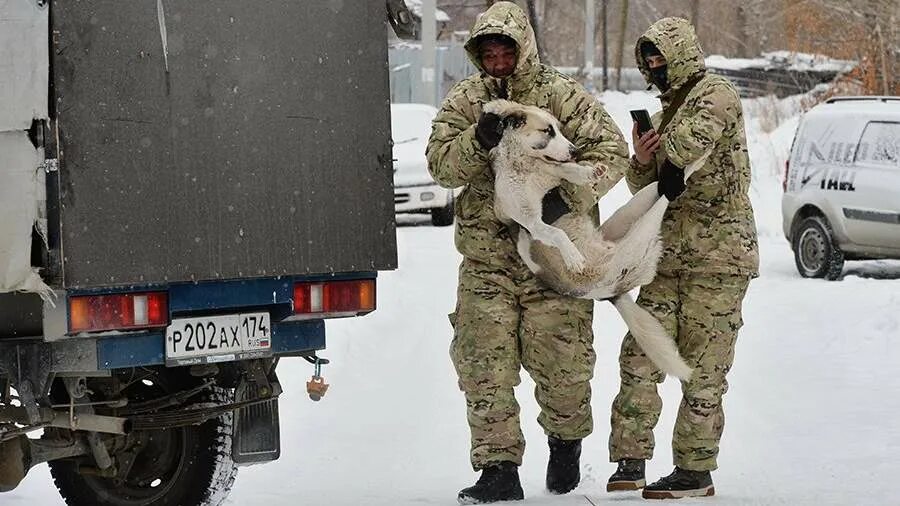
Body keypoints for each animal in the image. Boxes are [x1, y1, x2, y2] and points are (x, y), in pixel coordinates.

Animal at [482, 100, 708, 380]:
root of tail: (609, 295)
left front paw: (589, 172)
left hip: (629, 214)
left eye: (559, 128)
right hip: (640, 233)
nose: (574, 150)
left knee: (660, 186)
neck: (526, 165)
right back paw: (692, 166)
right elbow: (556, 233)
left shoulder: (553, 173)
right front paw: (573, 257)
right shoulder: (530, 222)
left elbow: (566, 170)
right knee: (667, 192)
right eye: (547, 131)